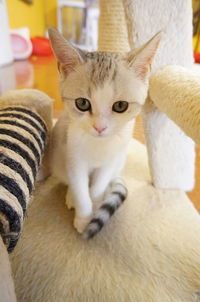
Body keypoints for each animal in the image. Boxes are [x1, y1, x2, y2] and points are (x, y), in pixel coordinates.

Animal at [48, 27, 162, 237]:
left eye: (120, 106)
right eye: (82, 103)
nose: (100, 127)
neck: (99, 144)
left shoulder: (111, 161)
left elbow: (97, 188)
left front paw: (94, 207)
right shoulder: (74, 159)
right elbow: (80, 188)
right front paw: (83, 217)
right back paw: (71, 196)